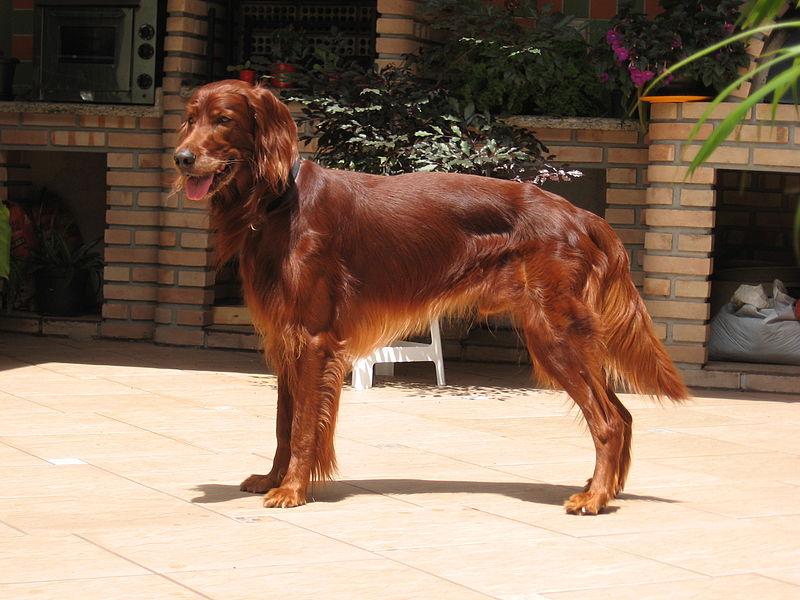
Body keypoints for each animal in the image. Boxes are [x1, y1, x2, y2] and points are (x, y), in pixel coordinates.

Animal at [173, 77, 688, 512]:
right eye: (190, 117)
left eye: (223, 119)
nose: (180, 157)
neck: (279, 202)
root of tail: (581, 214)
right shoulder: (286, 340)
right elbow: (284, 421)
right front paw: (273, 478)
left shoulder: (315, 339)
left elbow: (302, 427)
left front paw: (293, 490)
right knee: (622, 414)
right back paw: (603, 489)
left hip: (554, 333)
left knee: (608, 420)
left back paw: (595, 498)